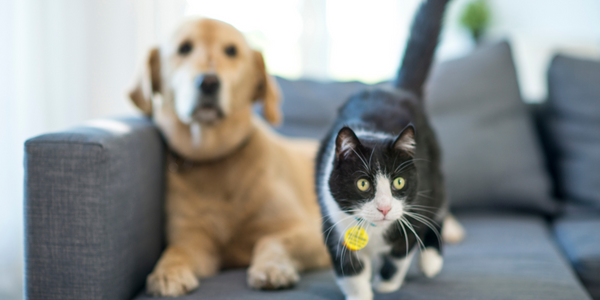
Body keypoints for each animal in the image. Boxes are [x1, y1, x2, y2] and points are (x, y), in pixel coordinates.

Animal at [127, 17, 330, 296]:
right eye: (184, 48)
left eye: (232, 51)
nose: (209, 82)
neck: (215, 158)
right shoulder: (194, 241)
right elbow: (175, 251)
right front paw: (167, 273)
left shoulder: (308, 230)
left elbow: (271, 240)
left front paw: (272, 267)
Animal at [314, 1, 454, 298]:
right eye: (363, 184)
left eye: (398, 182)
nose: (385, 208)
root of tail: (397, 90)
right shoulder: (332, 222)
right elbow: (350, 269)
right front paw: (362, 291)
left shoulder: (412, 211)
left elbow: (401, 253)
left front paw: (386, 284)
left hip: (434, 176)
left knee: (438, 209)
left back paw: (431, 261)